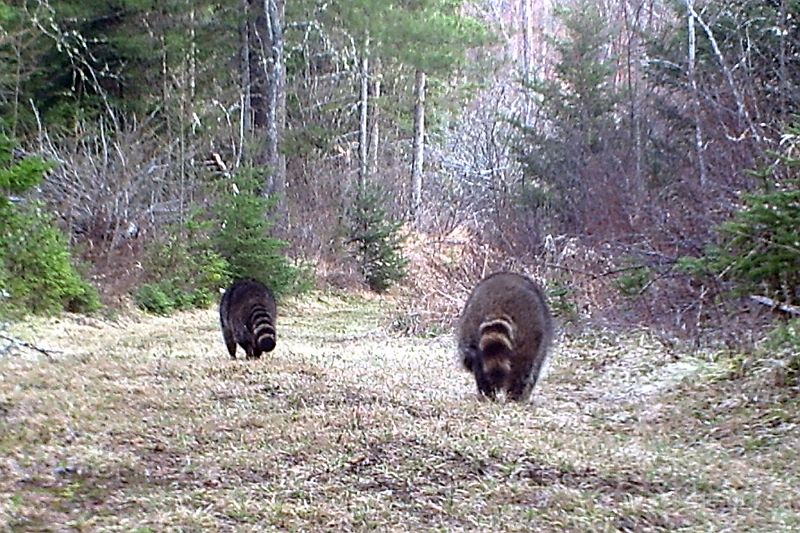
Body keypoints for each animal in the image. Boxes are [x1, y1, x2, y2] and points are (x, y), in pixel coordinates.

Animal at [460, 272, 552, 402]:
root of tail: (498, 304)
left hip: (470, 325)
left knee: (480, 367)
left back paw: (487, 393)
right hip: (530, 334)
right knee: (523, 369)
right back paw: (515, 396)